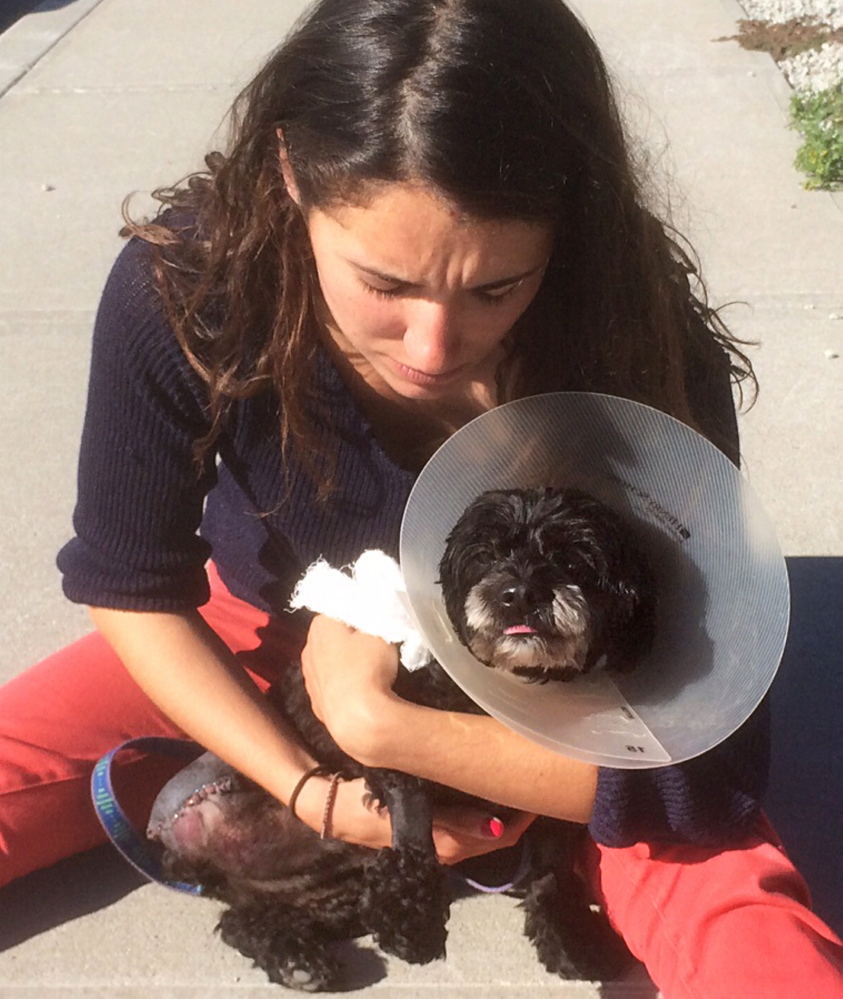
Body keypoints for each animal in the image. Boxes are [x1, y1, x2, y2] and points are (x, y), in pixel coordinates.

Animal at [148, 486, 656, 992]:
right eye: (486, 555)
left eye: (572, 559)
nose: (519, 594)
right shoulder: (392, 737)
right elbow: (413, 816)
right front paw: (411, 916)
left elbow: (555, 863)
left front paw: (570, 934)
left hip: (337, 889)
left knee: (248, 919)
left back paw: (295, 958)